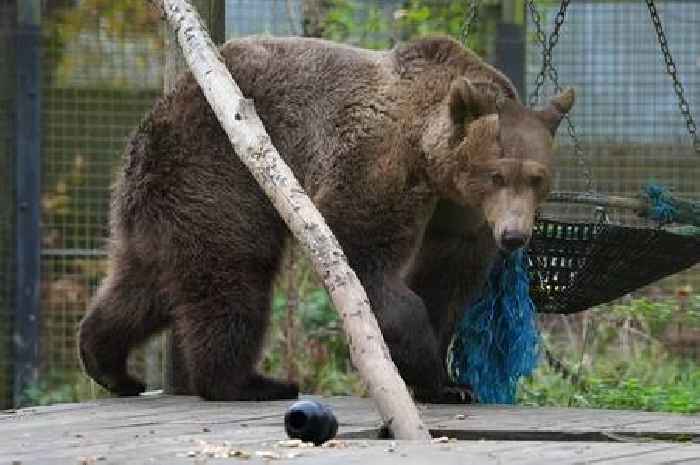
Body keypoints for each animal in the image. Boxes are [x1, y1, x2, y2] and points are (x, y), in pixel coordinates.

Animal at [78, 34, 576, 400]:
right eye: (498, 174)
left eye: (536, 178)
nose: (514, 236)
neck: (434, 164)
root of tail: (153, 117)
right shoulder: (381, 161)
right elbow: (362, 256)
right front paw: (431, 373)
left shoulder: (461, 214)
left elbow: (447, 281)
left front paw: (450, 380)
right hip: (217, 172)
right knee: (234, 274)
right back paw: (249, 382)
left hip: (160, 198)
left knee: (144, 282)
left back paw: (108, 363)